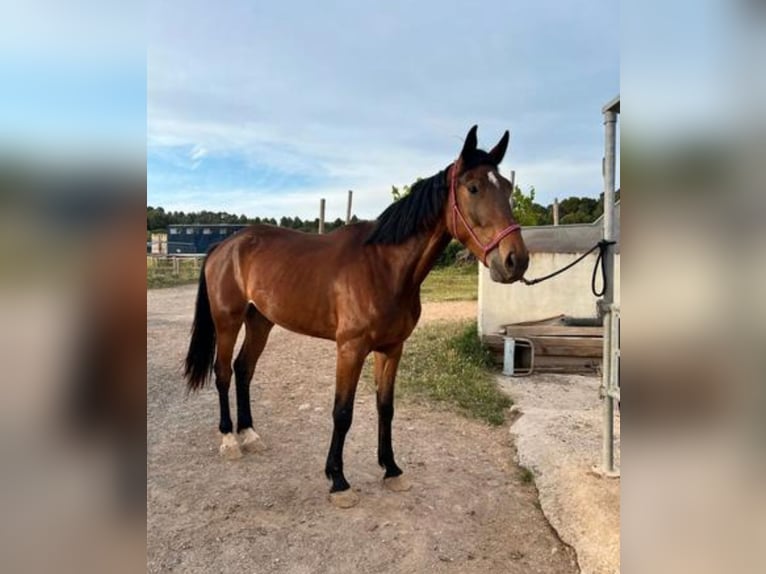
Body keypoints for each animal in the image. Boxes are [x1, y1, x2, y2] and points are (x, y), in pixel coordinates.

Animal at [184, 126, 529, 508]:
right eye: (473, 187)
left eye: (508, 189)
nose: (515, 260)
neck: (384, 267)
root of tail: (225, 245)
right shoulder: (350, 349)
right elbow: (343, 412)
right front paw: (338, 480)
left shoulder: (392, 349)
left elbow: (385, 407)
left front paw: (391, 469)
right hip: (227, 321)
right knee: (224, 373)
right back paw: (229, 440)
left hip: (260, 321)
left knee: (244, 369)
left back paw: (249, 434)